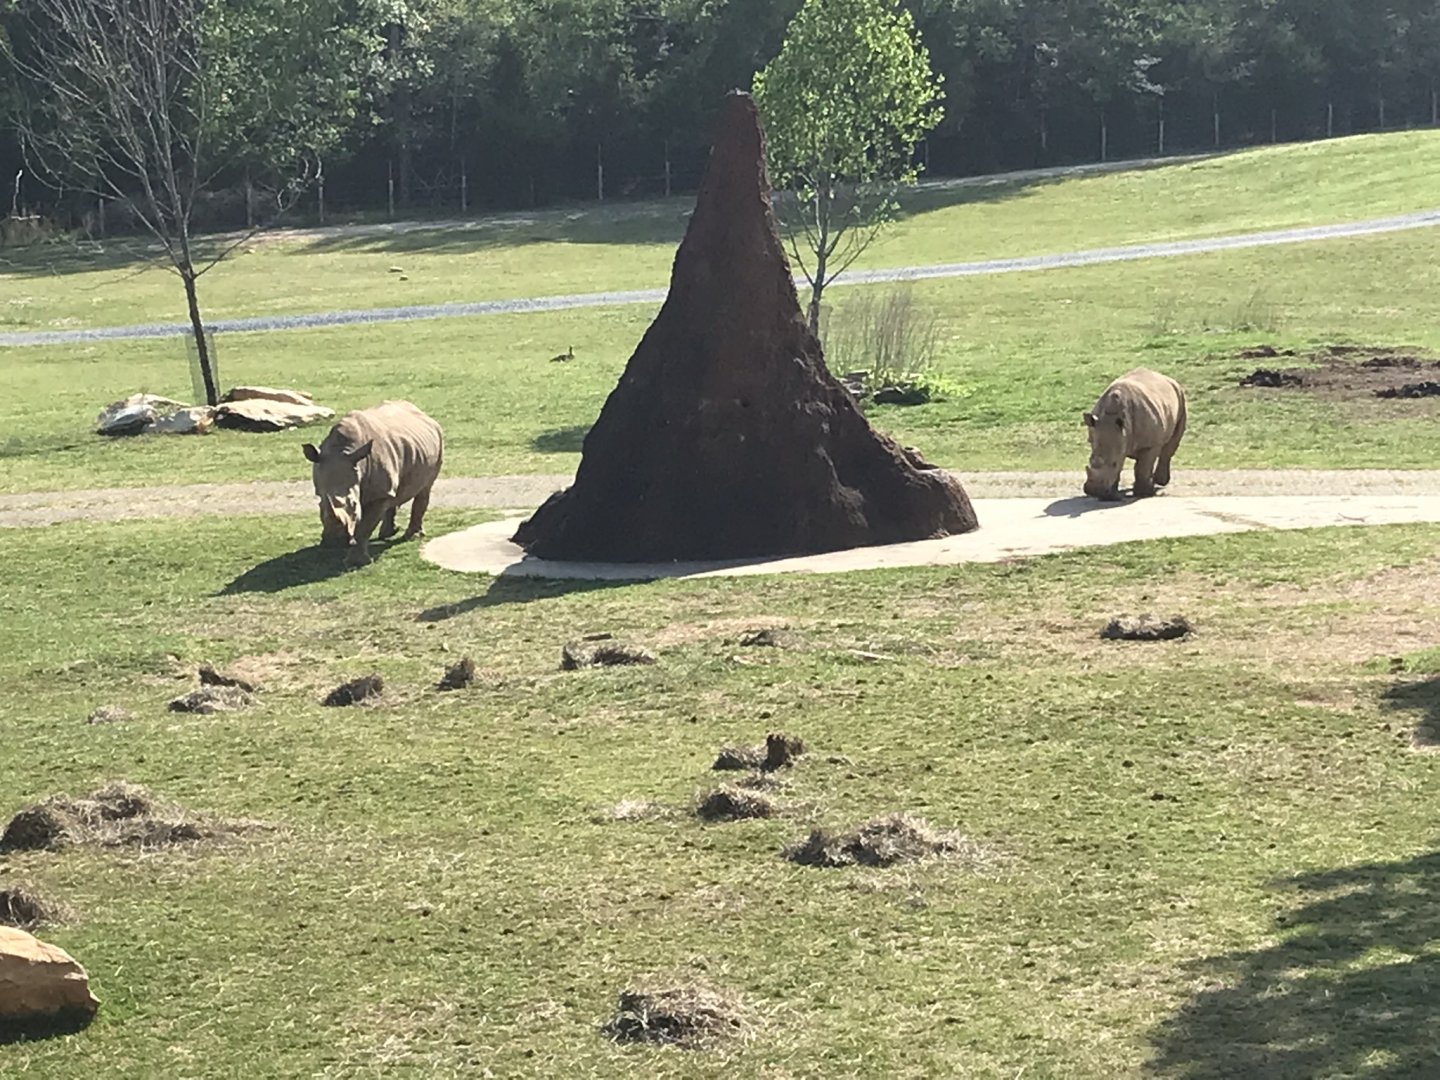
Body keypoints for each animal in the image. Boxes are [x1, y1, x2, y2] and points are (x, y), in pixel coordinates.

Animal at [301, 400, 444, 566]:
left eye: (354, 505)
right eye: (320, 504)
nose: (334, 542)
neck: (342, 450)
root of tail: (422, 414)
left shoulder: (378, 495)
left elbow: (365, 527)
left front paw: (356, 562)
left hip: (438, 441)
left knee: (425, 488)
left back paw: (412, 536)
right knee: (395, 491)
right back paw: (387, 534)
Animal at [1083, 368, 1186, 501]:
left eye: (1114, 464)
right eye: (1090, 460)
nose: (1094, 491)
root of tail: (1166, 378)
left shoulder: (1151, 444)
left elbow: (1142, 467)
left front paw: (1144, 493)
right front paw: (1112, 496)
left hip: (1180, 395)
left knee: (1171, 442)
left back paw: (1160, 482)